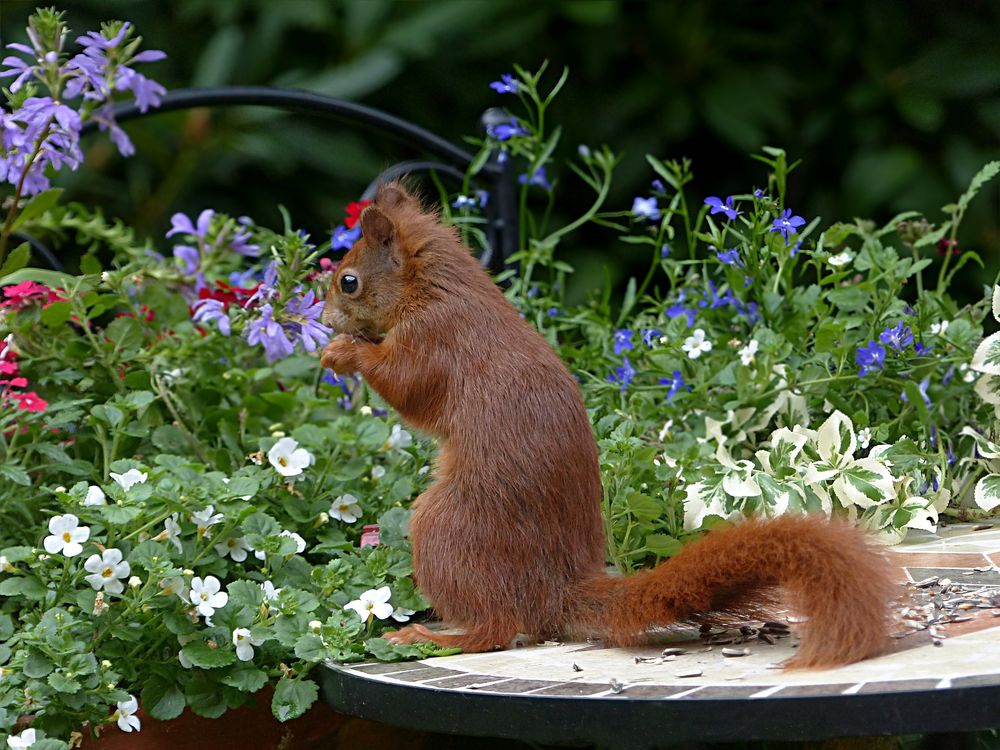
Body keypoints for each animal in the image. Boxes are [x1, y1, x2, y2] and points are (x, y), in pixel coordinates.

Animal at [322, 182, 900, 668]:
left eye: (348, 281)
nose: (325, 321)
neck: (436, 288)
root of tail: (554, 593)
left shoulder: (435, 340)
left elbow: (406, 385)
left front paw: (342, 354)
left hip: (447, 527)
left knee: (498, 629)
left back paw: (428, 636)